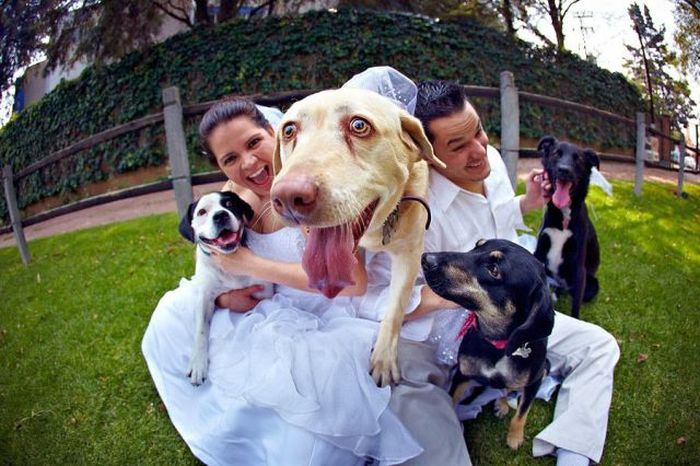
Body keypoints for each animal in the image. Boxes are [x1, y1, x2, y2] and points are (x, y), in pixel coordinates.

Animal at [178, 191, 274, 384]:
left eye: (229, 204)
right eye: (202, 212)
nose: (220, 215)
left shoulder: (264, 290)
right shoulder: (205, 297)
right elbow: (200, 331)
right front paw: (198, 363)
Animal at [270, 88, 446, 386]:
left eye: (359, 125)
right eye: (289, 130)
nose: (288, 197)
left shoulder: (410, 254)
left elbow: (395, 308)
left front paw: (384, 360)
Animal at [418, 238, 556, 450]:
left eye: (493, 269)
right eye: (477, 245)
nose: (426, 258)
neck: (497, 345)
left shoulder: (535, 381)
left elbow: (522, 413)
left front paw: (515, 437)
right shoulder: (462, 374)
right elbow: (451, 399)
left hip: (546, 368)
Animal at [532, 135, 600, 316]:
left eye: (578, 159)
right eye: (557, 153)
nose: (564, 170)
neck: (563, 216)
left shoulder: (579, 266)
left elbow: (575, 305)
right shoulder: (539, 251)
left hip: (592, 284)